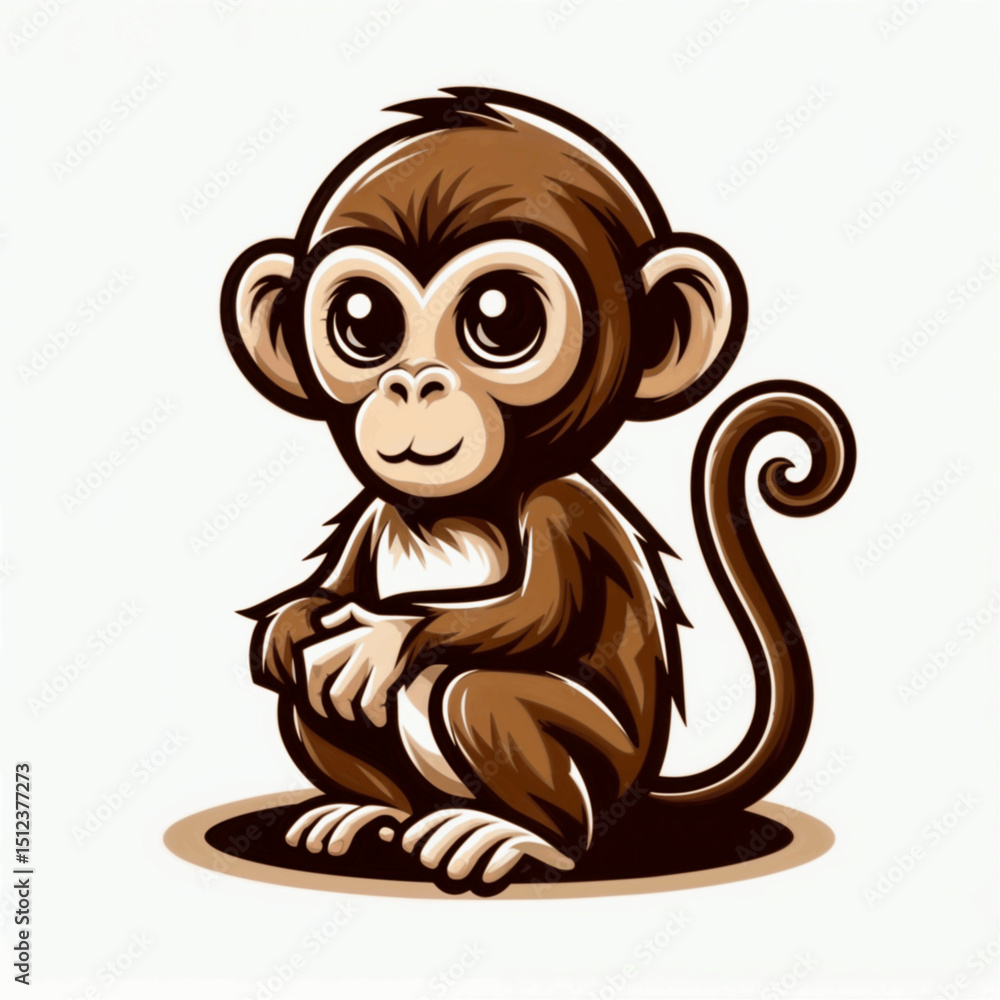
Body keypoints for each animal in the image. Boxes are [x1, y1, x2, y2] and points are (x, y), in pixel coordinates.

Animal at [220, 88, 855, 895]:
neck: (451, 511)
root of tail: (642, 792)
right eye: (362, 320)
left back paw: (523, 838)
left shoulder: (564, 509)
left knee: (473, 691)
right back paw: (369, 809)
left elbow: (534, 611)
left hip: (602, 768)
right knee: (315, 692)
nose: (413, 382)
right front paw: (289, 626)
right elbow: (326, 602)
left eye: (500, 315)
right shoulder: (374, 512)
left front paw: (384, 637)